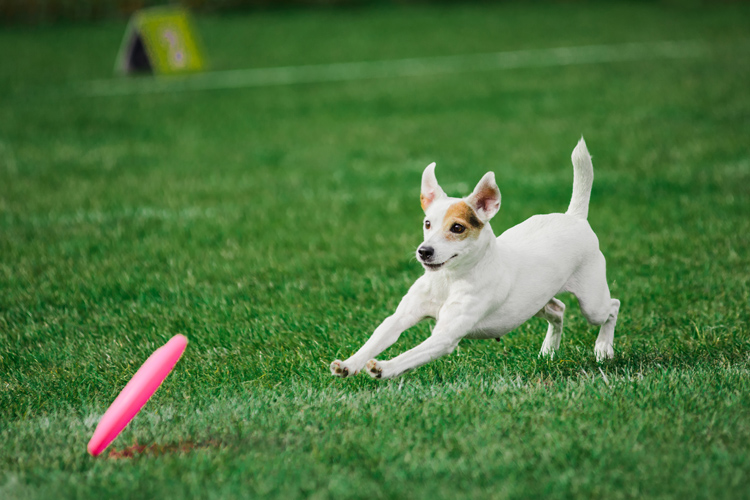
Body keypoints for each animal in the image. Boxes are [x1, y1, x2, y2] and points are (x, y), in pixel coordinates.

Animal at [332, 137, 620, 378]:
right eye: (427, 223)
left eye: (457, 228)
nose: (424, 251)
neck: (448, 280)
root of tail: (575, 217)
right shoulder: (402, 317)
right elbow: (376, 339)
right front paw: (349, 364)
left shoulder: (444, 336)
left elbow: (411, 355)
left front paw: (384, 367)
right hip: (534, 302)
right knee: (558, 309)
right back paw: (549, 350)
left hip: (592, 303)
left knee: (612, 307)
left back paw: (603, 348)